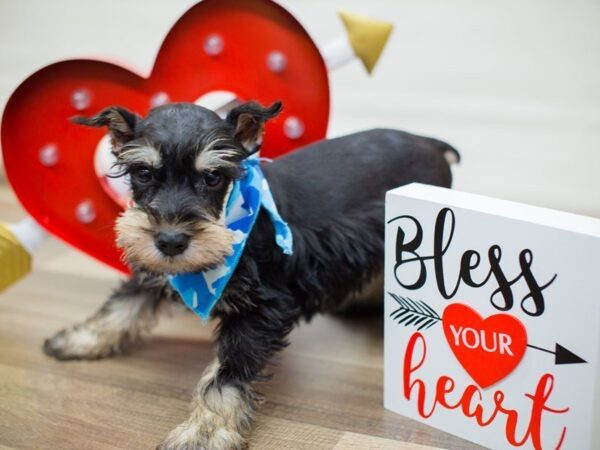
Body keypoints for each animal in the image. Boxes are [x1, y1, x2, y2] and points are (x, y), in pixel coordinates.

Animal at [44, 101, 458, 450]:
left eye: (213, 177)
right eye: (143, 173)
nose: (171, 241)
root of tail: (429, 143)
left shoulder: (263, 307)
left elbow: (225, 374)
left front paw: (204, 432)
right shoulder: (157, 270)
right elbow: (122, 307)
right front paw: (79, 339)